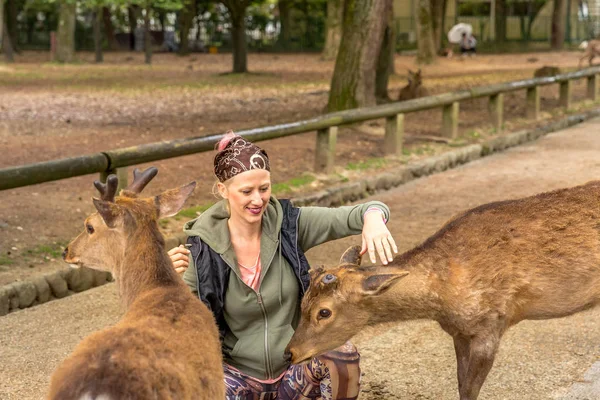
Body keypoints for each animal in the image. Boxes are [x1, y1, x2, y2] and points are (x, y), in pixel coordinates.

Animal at [284, 181, 600, 400]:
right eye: (303, 302)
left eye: (324, 312)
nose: (289, 353)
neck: (443, 297)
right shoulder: (459, 332)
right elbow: (461, 385)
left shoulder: (491, 325)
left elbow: (470, 390)